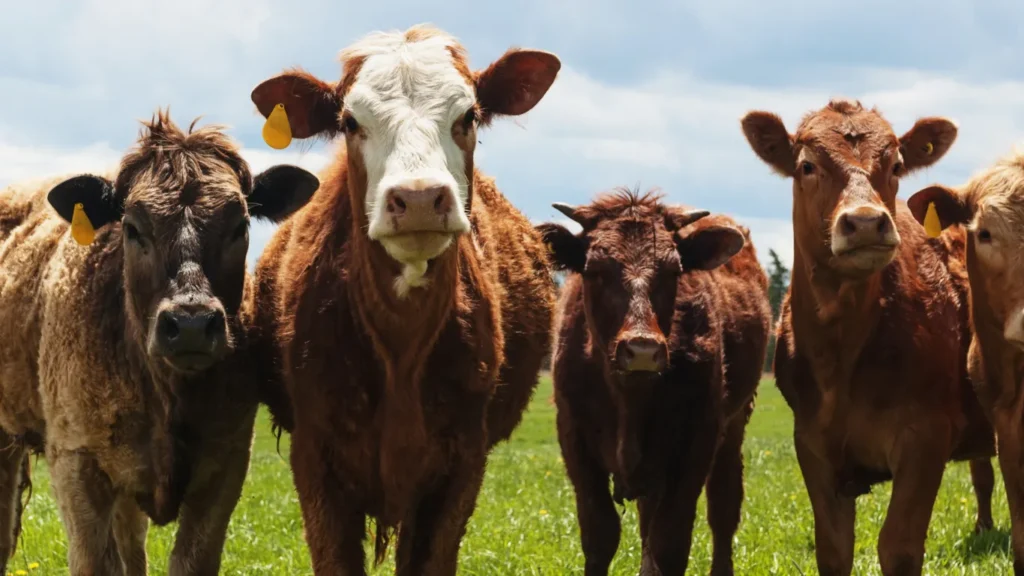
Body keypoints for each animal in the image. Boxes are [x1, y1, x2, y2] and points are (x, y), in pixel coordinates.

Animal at [246, 24, 560, 575]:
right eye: (350, 121)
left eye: (469, 115)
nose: (416, 199)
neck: (400, 349)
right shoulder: (315, 461)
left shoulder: (460, 466)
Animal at [537, 189, 770, 576]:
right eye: (595, 270)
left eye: (674, 271)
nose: (642, 349)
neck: (629, 399)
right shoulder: (574, 438)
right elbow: (601, 535)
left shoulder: (697, 440)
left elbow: (671, 540)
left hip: (735, 424)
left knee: (723, 507)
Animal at [740, 98, 997, 575]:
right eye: (807, 166)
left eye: (895, 165)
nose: (864, 222)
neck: (842, 357)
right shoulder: (812, 444)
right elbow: (834, 549)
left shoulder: (925, 436)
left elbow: (898, 546)